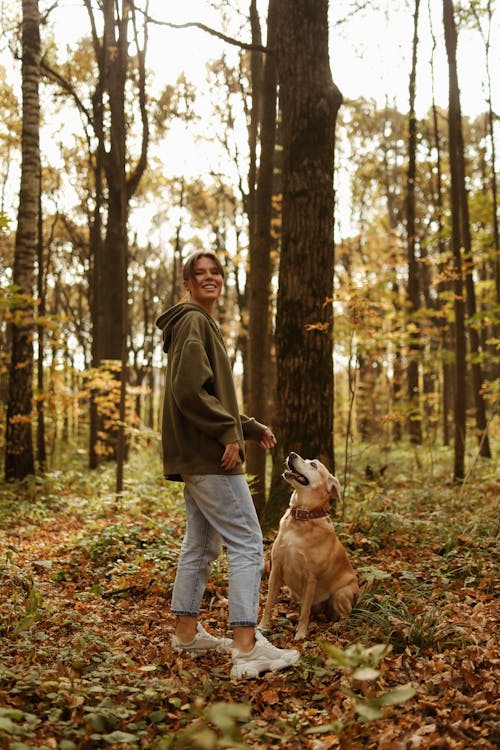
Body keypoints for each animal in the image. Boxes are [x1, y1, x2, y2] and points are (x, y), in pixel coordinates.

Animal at [258, 452, 360, 640]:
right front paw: (262, 626)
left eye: (313, 465)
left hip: (341, 594)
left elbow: (305, 611)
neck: (302, 517)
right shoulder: (276, 570)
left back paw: (337, 625)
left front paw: (300, 634)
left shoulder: (311, 577)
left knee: (345, 615)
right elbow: (268, 603)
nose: (292, 454)